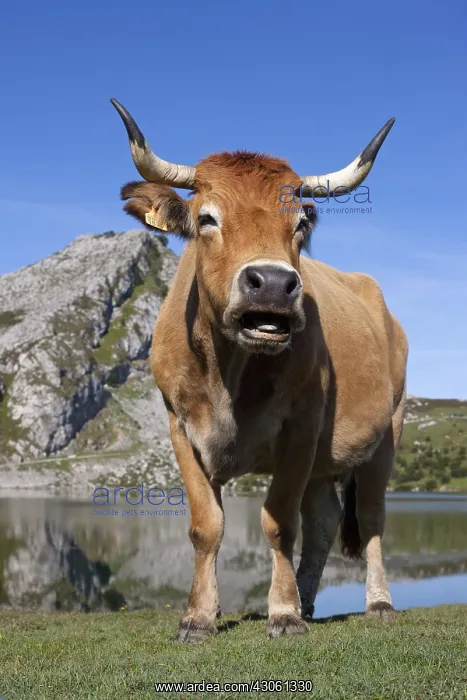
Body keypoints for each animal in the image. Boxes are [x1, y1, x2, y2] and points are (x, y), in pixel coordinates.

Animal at [111, 98, 408, 642]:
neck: (227, 374)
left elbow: (278, 523)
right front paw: (199, 617)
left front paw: (283, 613)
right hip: (326, 460)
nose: (271, 283)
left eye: (302, 222)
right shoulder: (179, 425)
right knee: (324, 519)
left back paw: (377, 603)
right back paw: (310, 600)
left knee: (372, 517)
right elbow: (206, 526)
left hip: (387, 433)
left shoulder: (301, 426)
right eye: (206, 218)